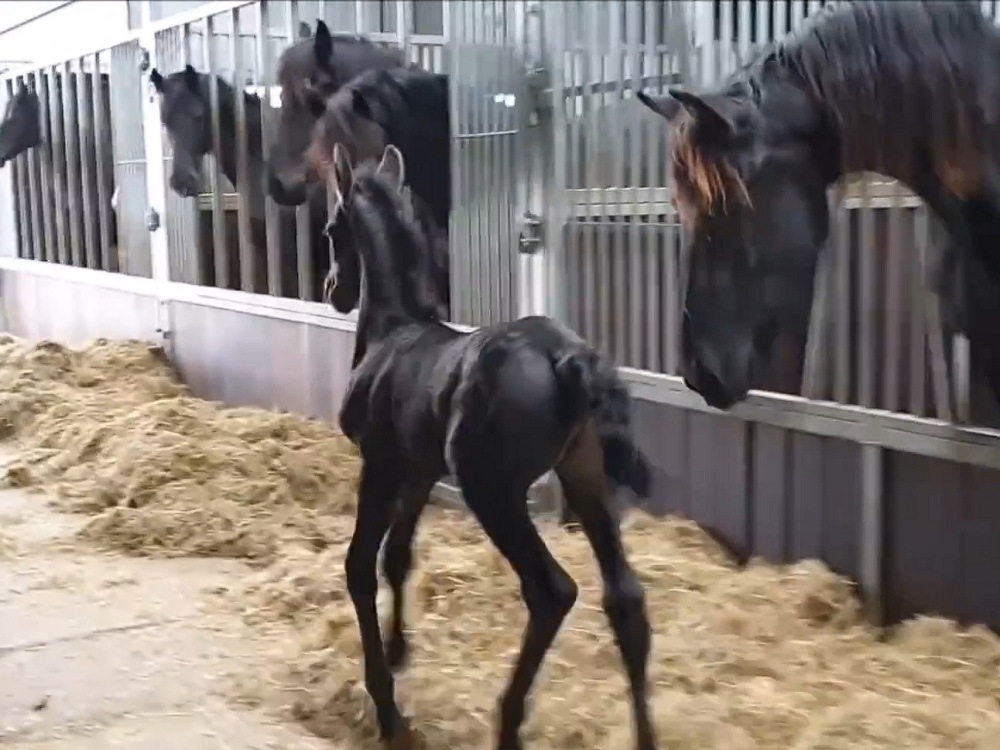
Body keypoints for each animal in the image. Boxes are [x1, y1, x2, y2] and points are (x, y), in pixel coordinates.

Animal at [321, 142, 657, 750]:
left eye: (333, 227)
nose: (333, 290)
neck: (394, 331)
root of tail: (566, 357)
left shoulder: (380, 467)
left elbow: (360, 565)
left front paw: (387, 708)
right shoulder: (419, 471)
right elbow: (397, 556)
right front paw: (400, 650)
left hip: (493, 492)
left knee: (552, 591)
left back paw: (507, 722)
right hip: (585, 478)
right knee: (625, 599)